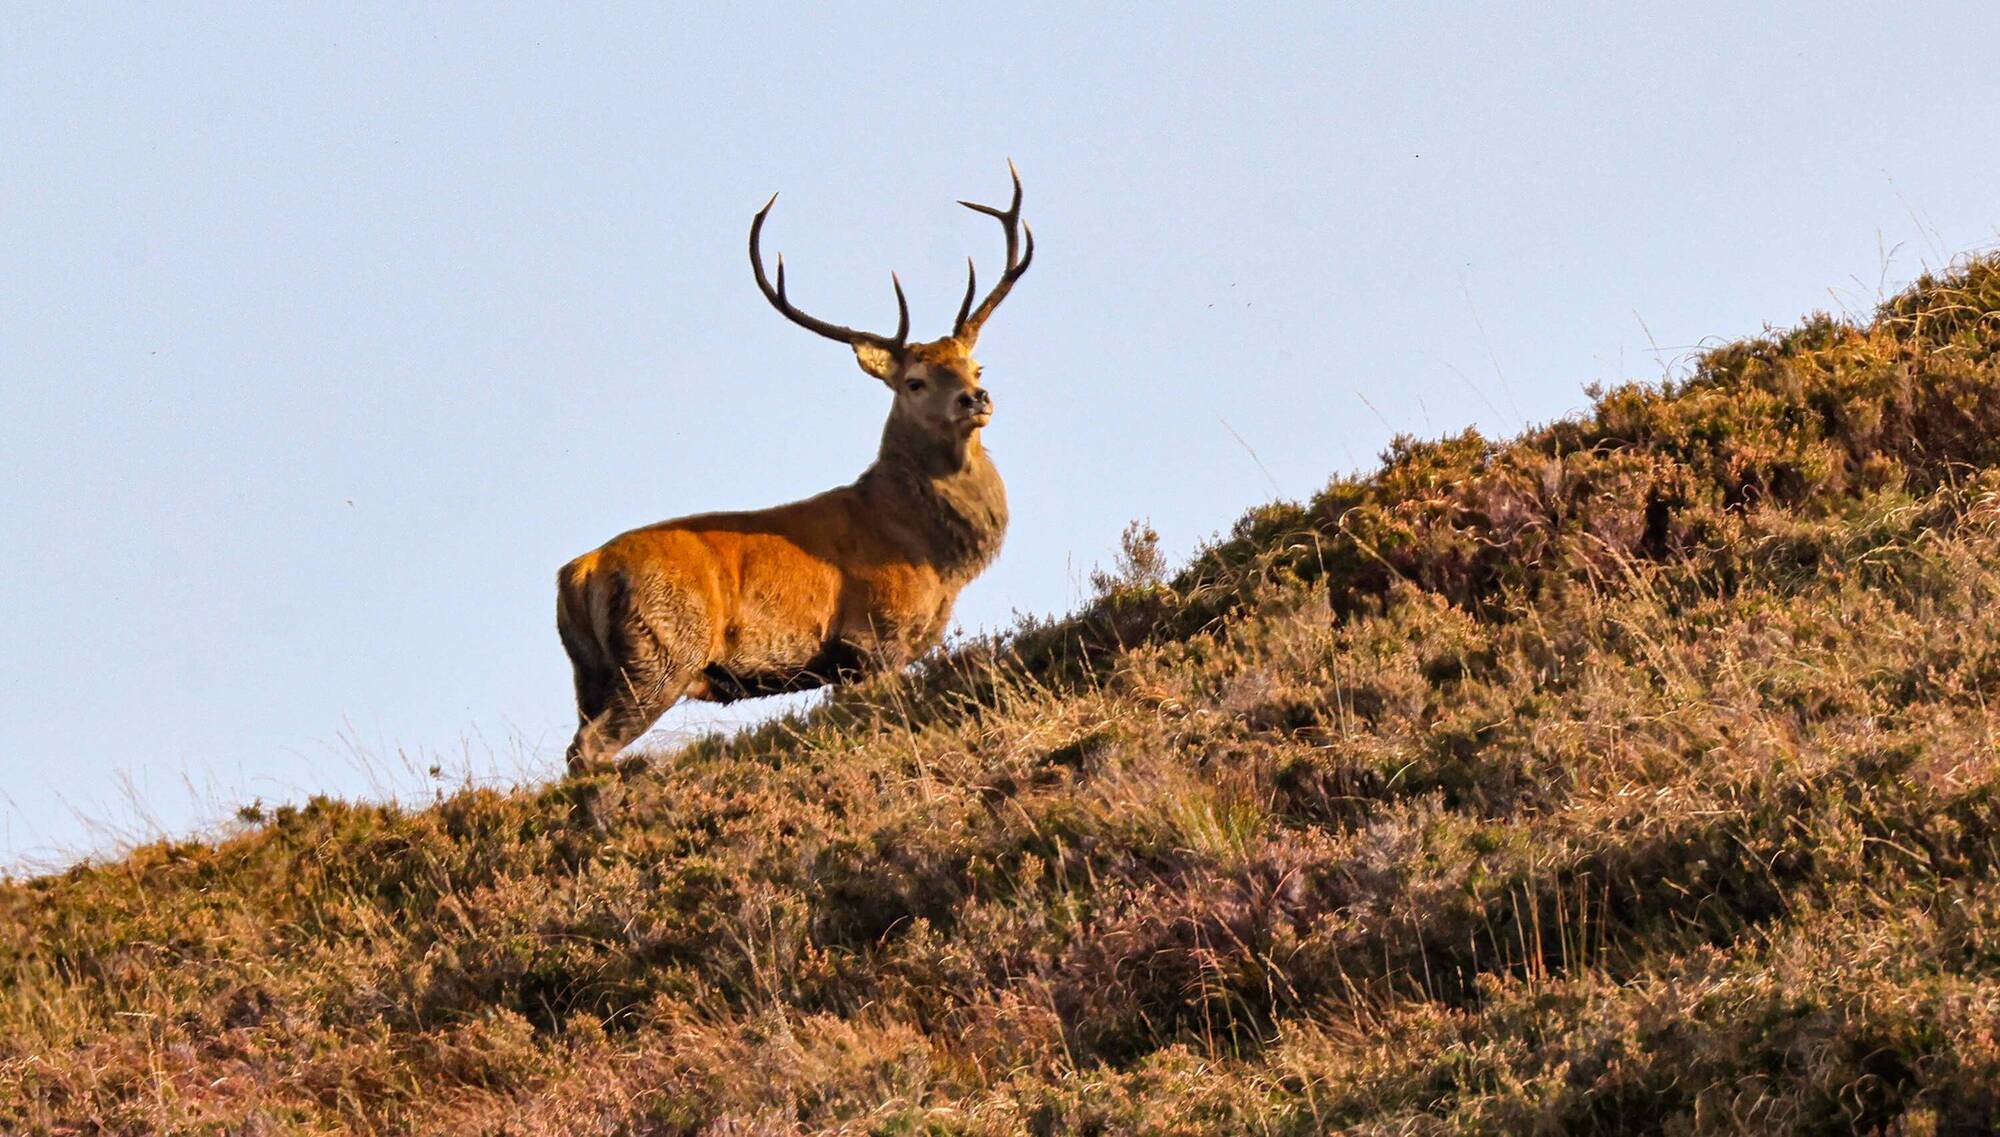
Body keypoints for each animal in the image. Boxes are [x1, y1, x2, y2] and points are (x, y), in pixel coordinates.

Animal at [556, 163, 1034, 773]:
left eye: (976, 365)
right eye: (915, 381)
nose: (975, 398)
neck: (931, 552)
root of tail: (579, 573)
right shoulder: (874, 638)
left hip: (590, 674)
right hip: (659, 653)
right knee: (587, 747)